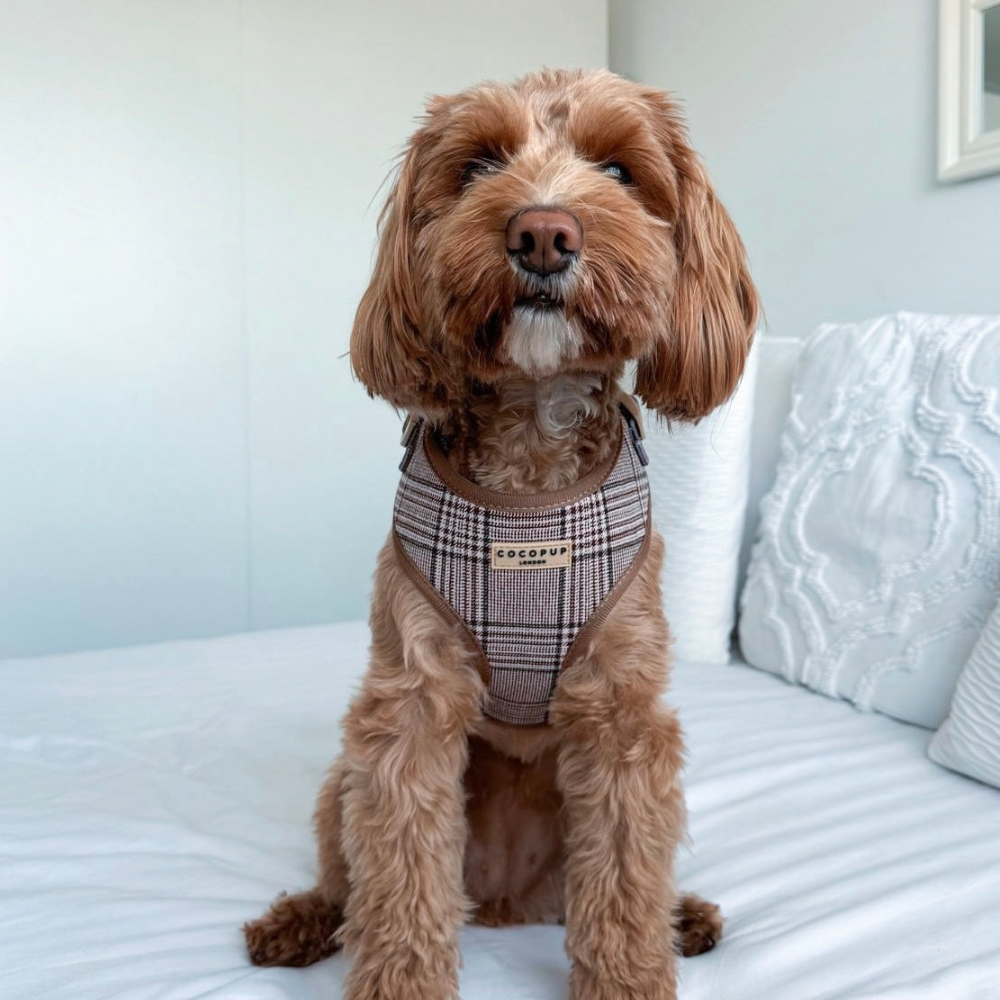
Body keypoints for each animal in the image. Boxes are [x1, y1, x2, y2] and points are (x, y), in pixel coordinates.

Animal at [244, 68, 756, 1000]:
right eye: (478, 165)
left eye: (620, 171)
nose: (543, 233)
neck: (531, 453)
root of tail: (511, 903)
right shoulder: (410, 703)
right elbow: (400, 881)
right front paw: (399, 982)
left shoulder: (623, 711)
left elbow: (626, 875)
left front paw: (633, 973)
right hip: (344, 779)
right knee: (347, 879)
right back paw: (300, 920)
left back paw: (682, 916)